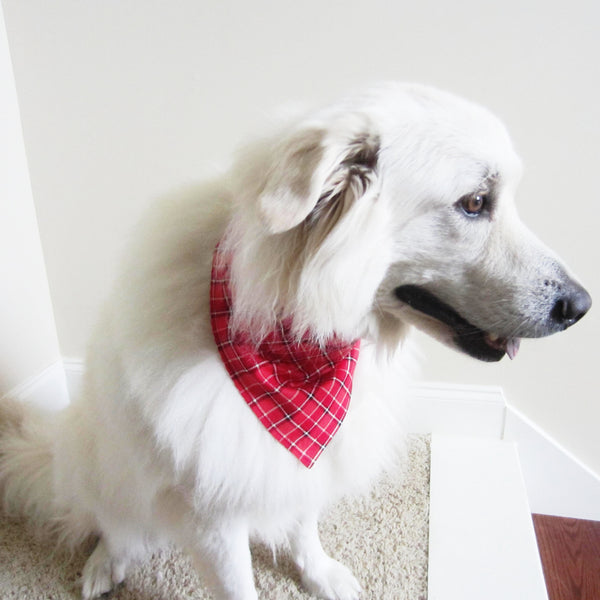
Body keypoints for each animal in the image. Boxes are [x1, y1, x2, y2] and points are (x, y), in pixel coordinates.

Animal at [0, 82, 592, 596]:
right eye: (474, 203)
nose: (580, 307)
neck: (295, 340)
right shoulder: (213, 513)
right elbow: (238, 585)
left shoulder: (303, 462)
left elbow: (305, 528)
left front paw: (319, 574)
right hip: (104, 464)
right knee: (112, 525)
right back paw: (106, 564)